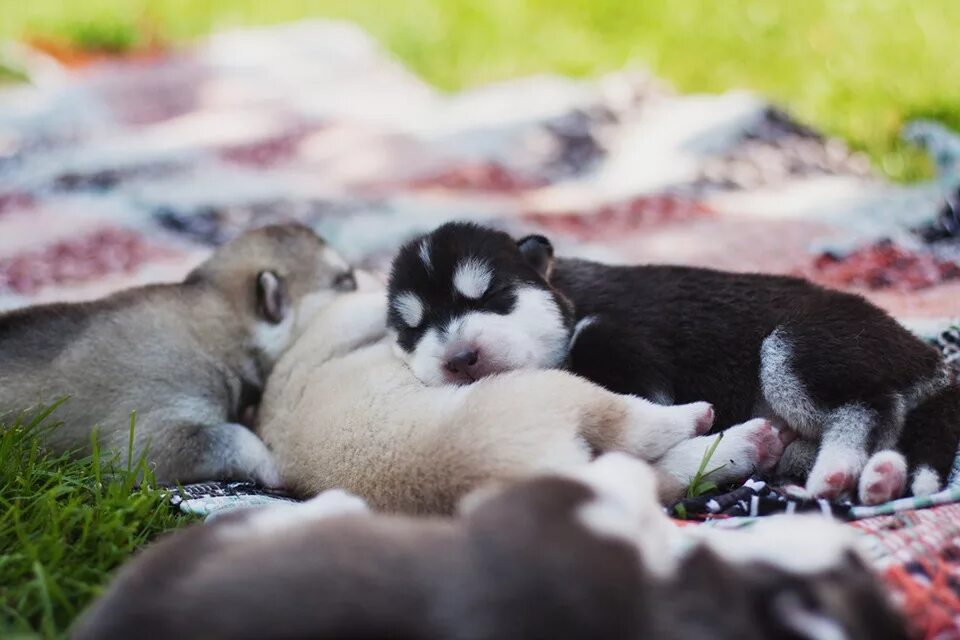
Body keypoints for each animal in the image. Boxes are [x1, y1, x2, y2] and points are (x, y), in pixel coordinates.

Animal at [388, 224, 960, 504]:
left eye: (492, 297)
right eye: (412, 328)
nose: (460, 359)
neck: (569, 299)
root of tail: (925, 351)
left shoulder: (612, 339)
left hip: (797, 346)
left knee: (872, 406)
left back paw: (838, 469)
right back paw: (876, 473)